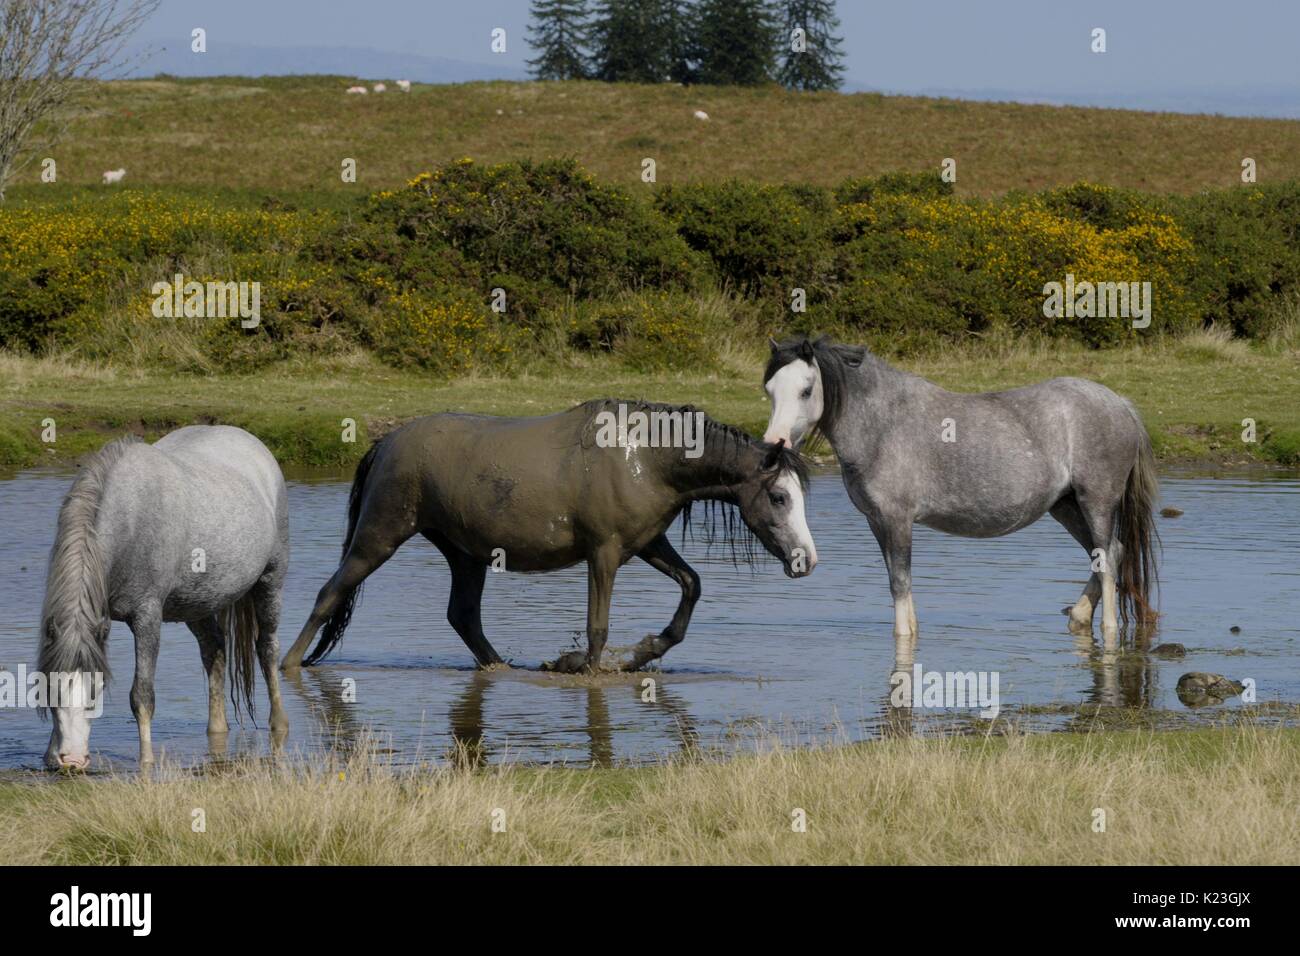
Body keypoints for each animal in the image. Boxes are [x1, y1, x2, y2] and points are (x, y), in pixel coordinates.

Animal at [37, 426, 289, 770]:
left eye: (95, 691)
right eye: (51, 688)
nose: (72, 760)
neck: (129, 519)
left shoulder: (147, 617)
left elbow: (142, 695)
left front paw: (146, 762)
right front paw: (50, 755)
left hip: (270, 581)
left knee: (267, 649)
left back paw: (279, 724)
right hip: (197, 603)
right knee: (214, 650)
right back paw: (217, 731)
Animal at [282, 400, 811, 676]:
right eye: (779, 497)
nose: (806, 560)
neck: (648, 458)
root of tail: (386, 442)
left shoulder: (646, 544)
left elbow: (691, 585)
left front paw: (644, 651)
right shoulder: (604, 553)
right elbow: (597, 627)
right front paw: (586, 666)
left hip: (465, 554)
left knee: (463, 616)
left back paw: (502, 668)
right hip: (380, 535)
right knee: (330, 593)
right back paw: (288, 663)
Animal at [759, 335, 1159, 642]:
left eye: (806, 390)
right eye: (770, 390)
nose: (774, 443)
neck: (882, 424)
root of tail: (1120, 404)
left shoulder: (897, 520)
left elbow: (900, 583)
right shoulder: (876, 521)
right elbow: (897, 583)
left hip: (1096, 503)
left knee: (1106, 560)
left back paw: (1106, 629)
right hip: (1066, 507)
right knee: (1110, 553)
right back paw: (1077, 616)